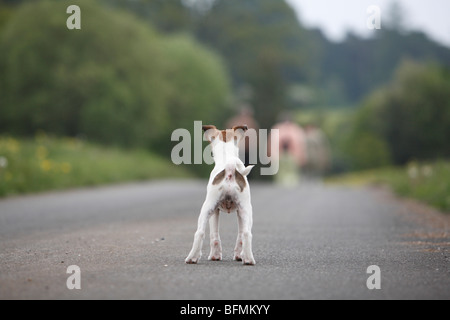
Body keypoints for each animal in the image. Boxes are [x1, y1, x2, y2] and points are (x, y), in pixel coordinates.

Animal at [185, 124, 255, 264]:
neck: (226, 157)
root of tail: (229, 169)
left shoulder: (215, 211)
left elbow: (214, 235)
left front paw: (216, 255)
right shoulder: (238, 211)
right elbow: (238, 235)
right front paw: (238, 255)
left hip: (207, 207)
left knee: (200, 232)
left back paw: (192, 257)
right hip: (245, 210)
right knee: (246, 233)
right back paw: (248, 259)